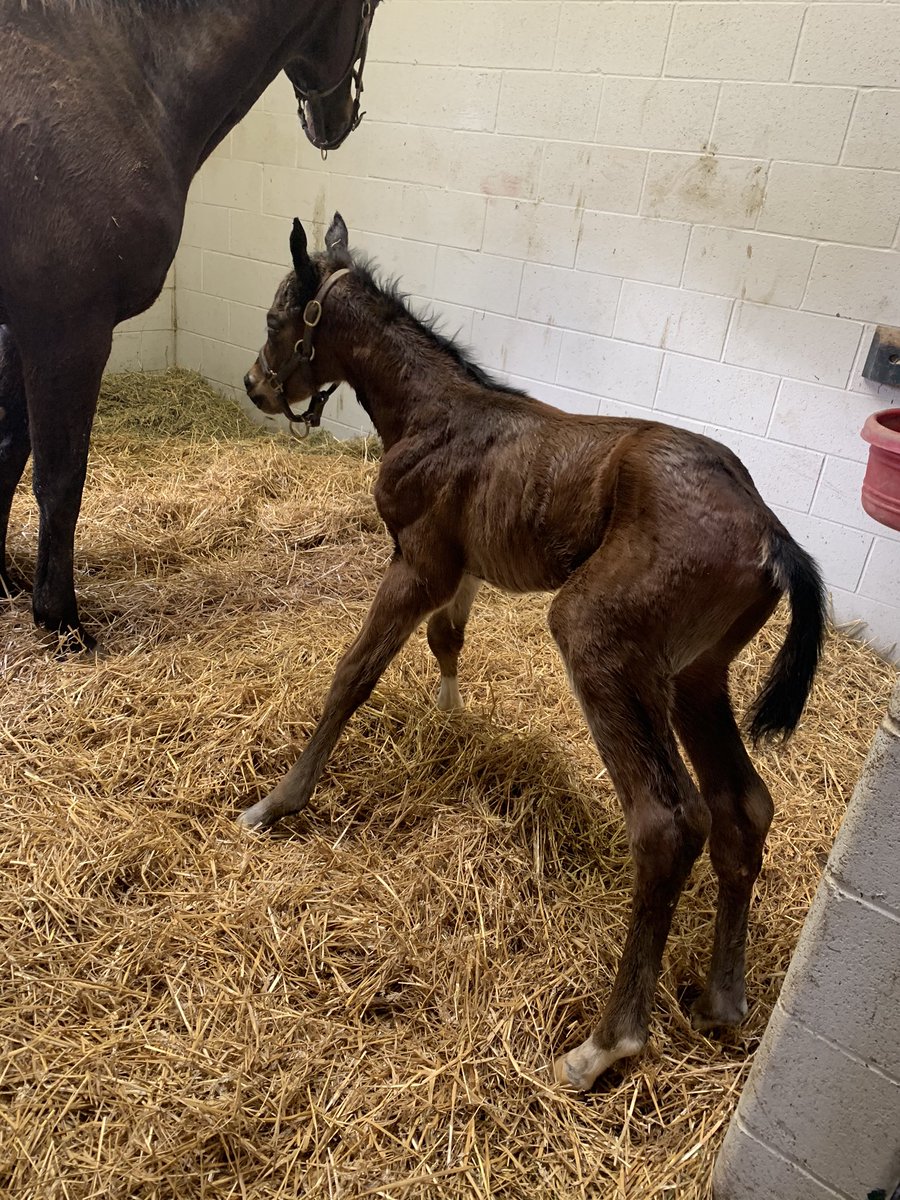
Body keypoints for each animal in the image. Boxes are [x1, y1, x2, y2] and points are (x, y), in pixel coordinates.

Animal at [240, 211, 825, 1094]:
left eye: (279, 318)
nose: (255, 386)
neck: (433, 414)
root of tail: (772, 534)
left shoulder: (418, 561)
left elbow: (354, 673)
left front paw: (278, 803)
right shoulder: (462, 569)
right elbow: (447, 639)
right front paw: (450, 722)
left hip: (597, 637)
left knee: (668, 822)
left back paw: (603, 1046)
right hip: (696, 674)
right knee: (742, 804)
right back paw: (722, 999)